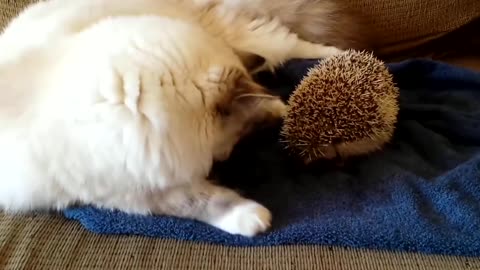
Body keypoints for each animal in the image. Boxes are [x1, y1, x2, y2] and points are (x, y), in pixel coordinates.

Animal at [0, 0, 344, 236]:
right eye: (232, 141)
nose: (224, 157)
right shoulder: (128, 190)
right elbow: (199, 200)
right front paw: (251, 217)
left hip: (247, 37)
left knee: (296, 46)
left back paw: (339, 63)